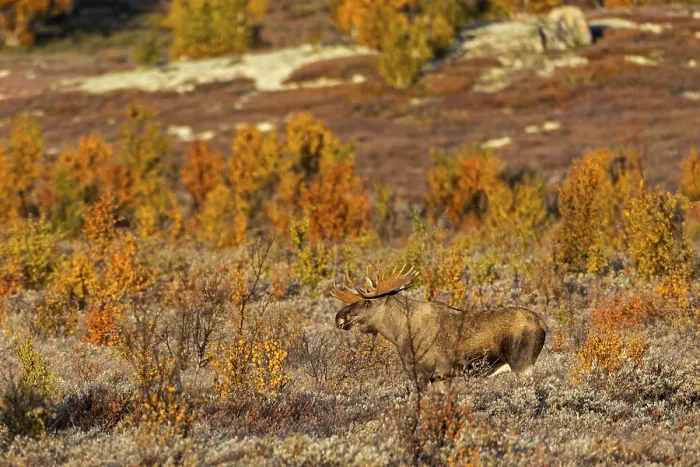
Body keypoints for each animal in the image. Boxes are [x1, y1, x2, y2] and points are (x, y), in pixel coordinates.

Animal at [331, 265, 547, 390]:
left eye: (368, 302)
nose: (339, 317)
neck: (398, 334)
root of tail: (544, 325)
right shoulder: (439, 377)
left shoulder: (421, 374)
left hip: (522, 364)